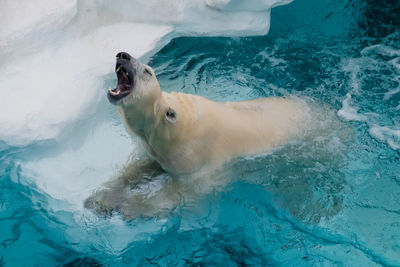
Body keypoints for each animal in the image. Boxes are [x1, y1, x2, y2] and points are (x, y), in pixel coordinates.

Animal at [83, 52, 310, 220]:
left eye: (147, 71)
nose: (123, 55)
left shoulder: (202, 162)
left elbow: (181, 192)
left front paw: (132, 207)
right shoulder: (158, 149)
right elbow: (138, 168)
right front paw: (101, 200)